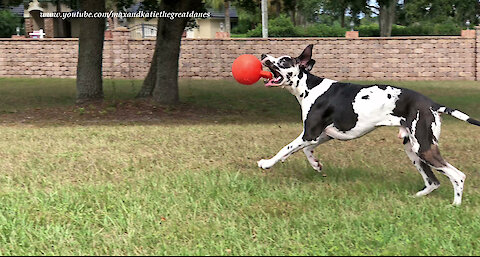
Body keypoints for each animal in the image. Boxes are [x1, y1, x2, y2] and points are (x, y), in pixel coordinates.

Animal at [256, 43, 478, 204]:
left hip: (424, 149)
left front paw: (267, 163)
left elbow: (286, 148)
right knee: (433, 181)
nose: (263, 55)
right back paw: (416, 198)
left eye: (284, 61)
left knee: (458, 176)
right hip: (413, 150)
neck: (309, 87)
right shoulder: (324, 134)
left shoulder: (309, 133)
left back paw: (455, 205)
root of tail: (432, 104)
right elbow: (304, 150)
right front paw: (316, 164)